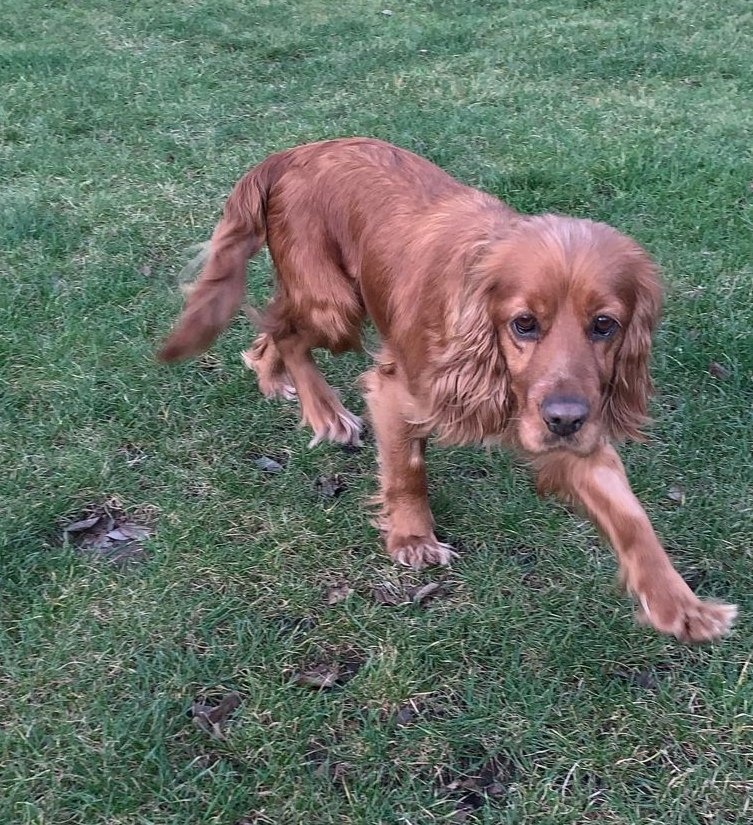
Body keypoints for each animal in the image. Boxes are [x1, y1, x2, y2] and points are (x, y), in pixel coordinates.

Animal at [158, 137, 736, 643]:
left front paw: (679, 604)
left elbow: (631, 515)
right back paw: (326, 412)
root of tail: (292, 153)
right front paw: (414, 538)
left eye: (604, 325)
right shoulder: (397, 391)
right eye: (524, 324)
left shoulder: (573, 428)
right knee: (286, 329)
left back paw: (271, 376)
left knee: (271, 326)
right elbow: (407, 471)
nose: (565, 419)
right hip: (335, 307)